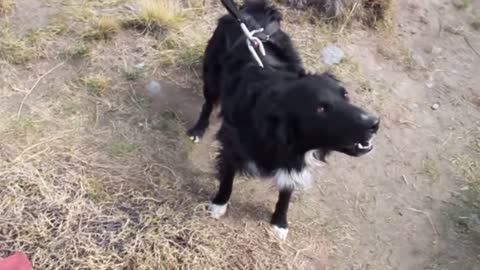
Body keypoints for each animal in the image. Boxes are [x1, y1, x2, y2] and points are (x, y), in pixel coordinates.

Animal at [188, 0, 378, 240]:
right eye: (321, 108)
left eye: (345, 95)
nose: (374, 123)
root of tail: (249, 12)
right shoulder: (232, 142)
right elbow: (227, 177)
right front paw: (219, 204)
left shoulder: (292, 159)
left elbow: (286, 190)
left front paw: (279, 222)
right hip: (212, 76)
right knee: (208, 102)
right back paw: (197, 130)